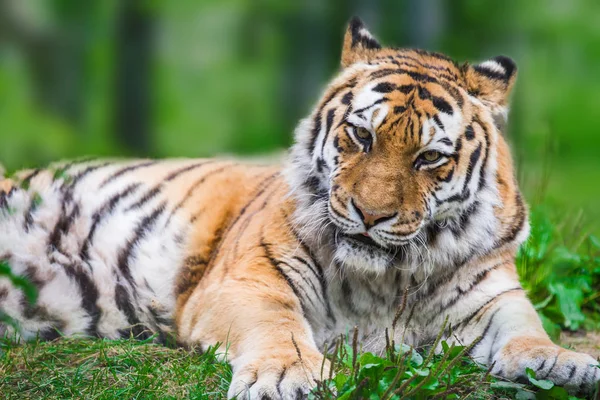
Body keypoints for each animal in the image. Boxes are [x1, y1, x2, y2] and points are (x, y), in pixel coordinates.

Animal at [0, 16, 596, 400]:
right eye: (361, 135)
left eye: (429, 157)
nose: (370, 215)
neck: (386, 278)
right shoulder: (248, 279)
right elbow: (277, 324)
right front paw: (288, 376)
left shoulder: (494, 294)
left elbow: (526, 328)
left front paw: (565, 363)